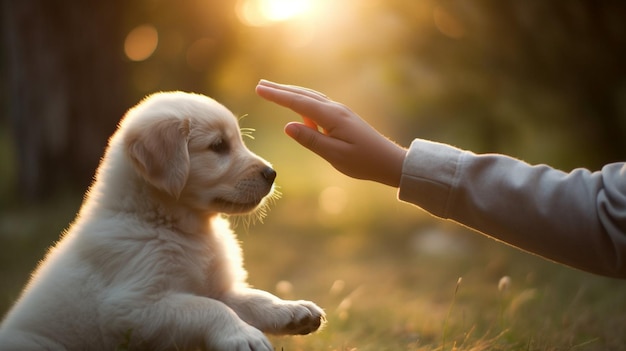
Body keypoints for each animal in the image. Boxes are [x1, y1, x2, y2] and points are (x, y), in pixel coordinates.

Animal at [0, 92, 322, 350]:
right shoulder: (131, 306)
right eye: (218, 146)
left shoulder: (218, 289)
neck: (181, 227)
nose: (271, 173)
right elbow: (210, 308)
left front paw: (292, 310)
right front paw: (244, 336)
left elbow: (253, 298)